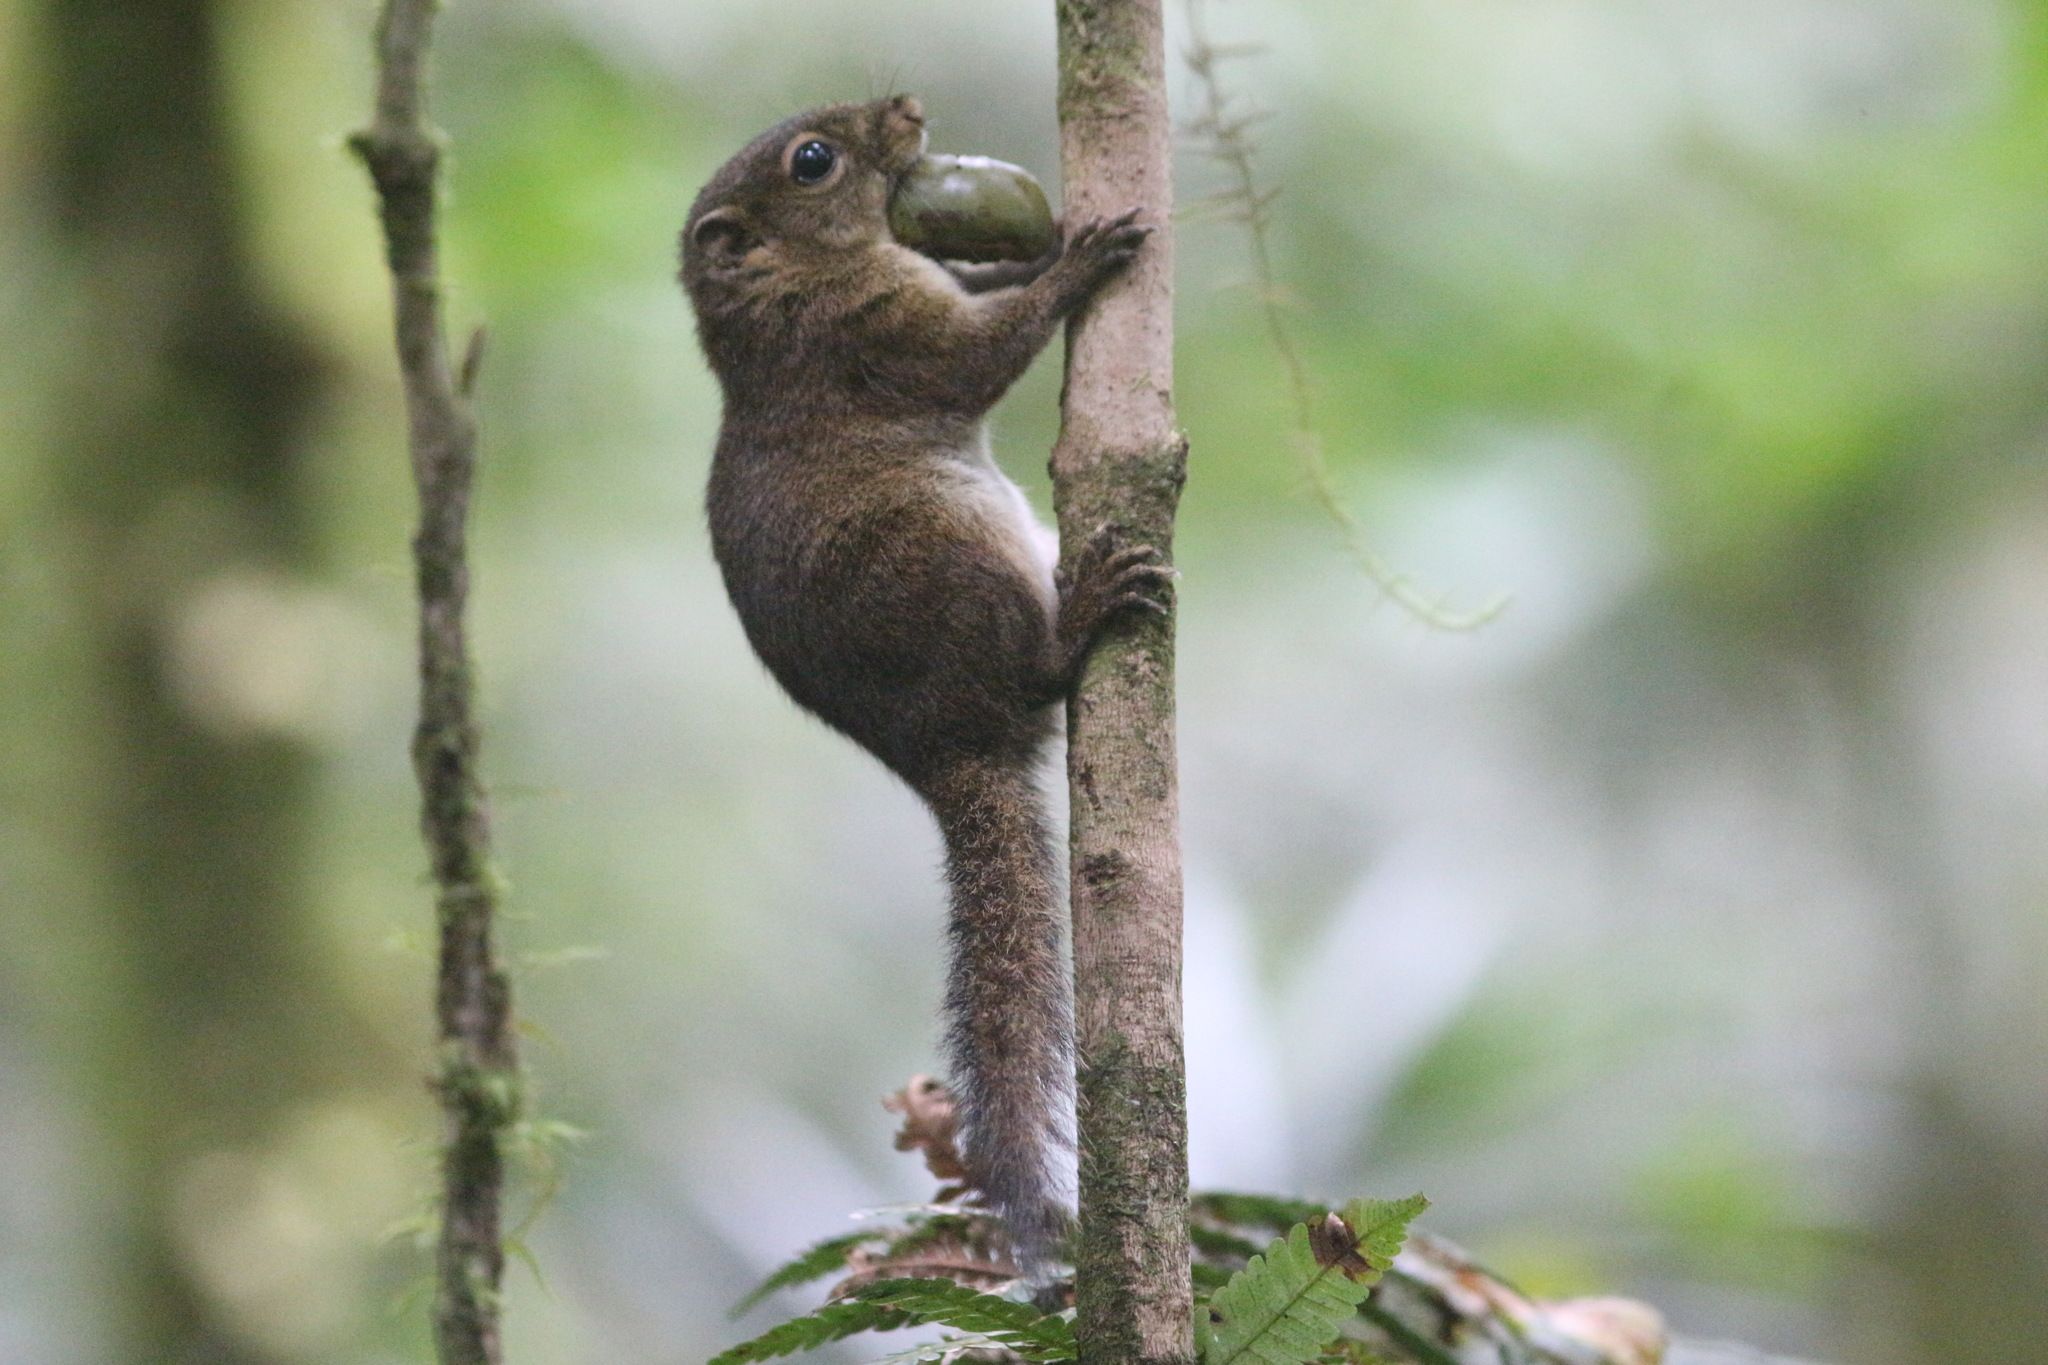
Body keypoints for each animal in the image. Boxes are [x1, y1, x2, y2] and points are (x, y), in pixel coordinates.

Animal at [679, 96, 1171, 1268]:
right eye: (812, 160)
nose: (905, 110)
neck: (790, 286)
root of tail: (939, 748)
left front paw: (1033, 247)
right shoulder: (871, 333)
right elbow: (975, 355)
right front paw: (1073, 264)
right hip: (953, 568)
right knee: (1036, 672)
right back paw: (1082, 614)